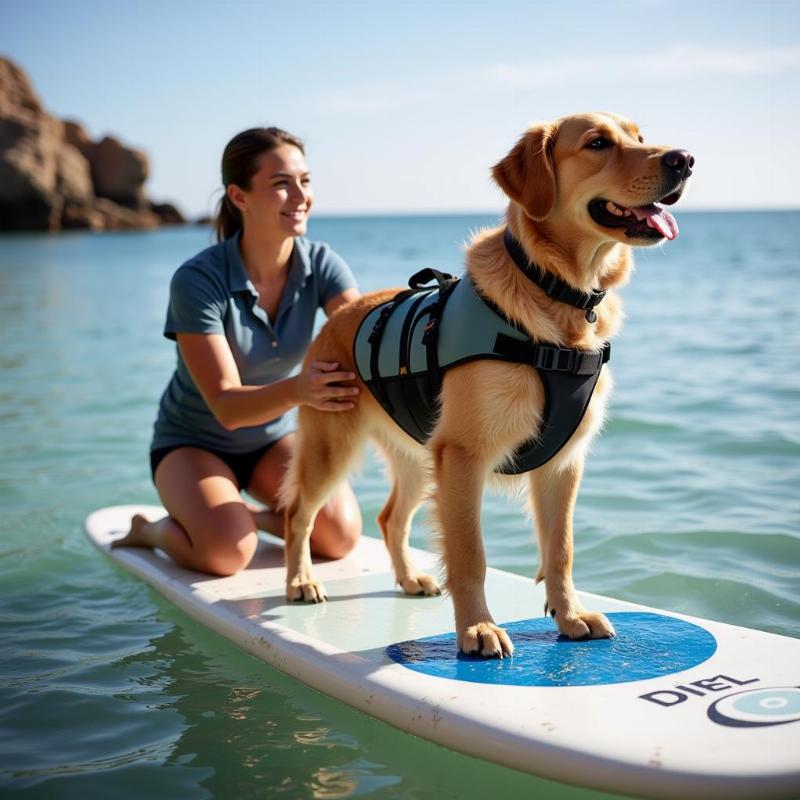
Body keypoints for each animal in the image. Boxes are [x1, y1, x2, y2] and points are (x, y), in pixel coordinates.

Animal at [282, 114, 692, 664]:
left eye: (640, 138)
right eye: (597, 143)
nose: (684, 160)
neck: (556, 290)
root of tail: (340, 316)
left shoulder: (562, 463)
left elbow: (561, 549)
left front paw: (571, 615)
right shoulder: (463, 457)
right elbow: (470, 554)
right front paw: (478, 628)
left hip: (418, 457)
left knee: (390, 518)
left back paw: (409, 578)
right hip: (334, 448)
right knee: (297, 515)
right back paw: (301, 582)